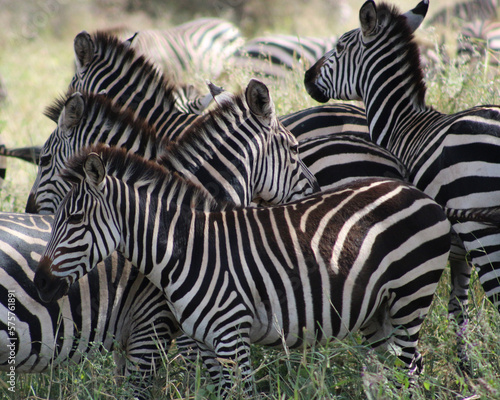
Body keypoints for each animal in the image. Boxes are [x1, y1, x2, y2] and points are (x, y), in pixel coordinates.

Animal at [33, 145, 452, 396]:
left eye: (74, 219)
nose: (40, 285)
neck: (186, 251)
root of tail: (416, 191)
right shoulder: (205, 344)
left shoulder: (232, 337)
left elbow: (244, 392)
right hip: (378, 313)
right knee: (392, 373)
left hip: (410, 298)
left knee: (412, 369)